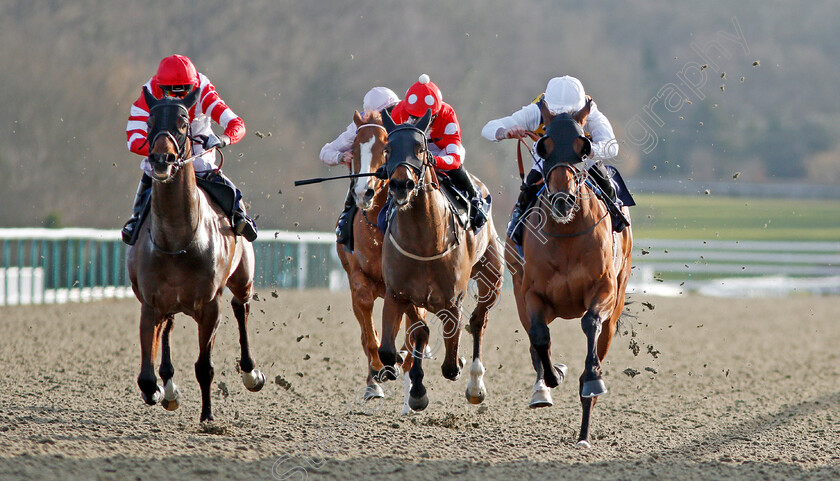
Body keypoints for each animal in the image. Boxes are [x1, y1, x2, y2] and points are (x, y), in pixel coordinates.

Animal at [126, 88, 264, 422]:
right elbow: (146, 376)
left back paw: (251, 373)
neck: (178, 238)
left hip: (243, 277)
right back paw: (168, 386)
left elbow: (204, 366)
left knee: (241, 307)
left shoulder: (210, 307)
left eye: (183, 121)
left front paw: (208, 417)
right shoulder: (150, 303)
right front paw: (161, 391)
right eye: (150, 121)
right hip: (169, 304)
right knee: (167, 329)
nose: (162, 158)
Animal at [334, 110, 426, 400]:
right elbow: (369, 329)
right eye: (354, 147)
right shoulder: (357, 278)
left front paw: (402, 361)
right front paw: (377, 371)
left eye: (385, 148)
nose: (364, 192)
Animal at [378, 109, 502, 412]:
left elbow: (450, 360)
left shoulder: (452, 300)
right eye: (387, 149)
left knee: (479, 320)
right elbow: (396, 345)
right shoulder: (397, 294)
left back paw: (475, 384)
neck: (424, 242)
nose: (401, 184)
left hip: (491, 277)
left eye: (420, 148)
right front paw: (413, 385)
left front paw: (457, 363)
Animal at [502, 98, 632, 446]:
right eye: (544, 145)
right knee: (535, 343)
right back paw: (542, 388)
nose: (563, 200)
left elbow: (590, 326)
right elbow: (539, 337)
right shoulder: (531, 294)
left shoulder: (604, 290)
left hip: (615, 308)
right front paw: (551, 376)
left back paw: (585, 429)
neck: (566, 234)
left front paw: (591, 381)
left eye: (582, 145)